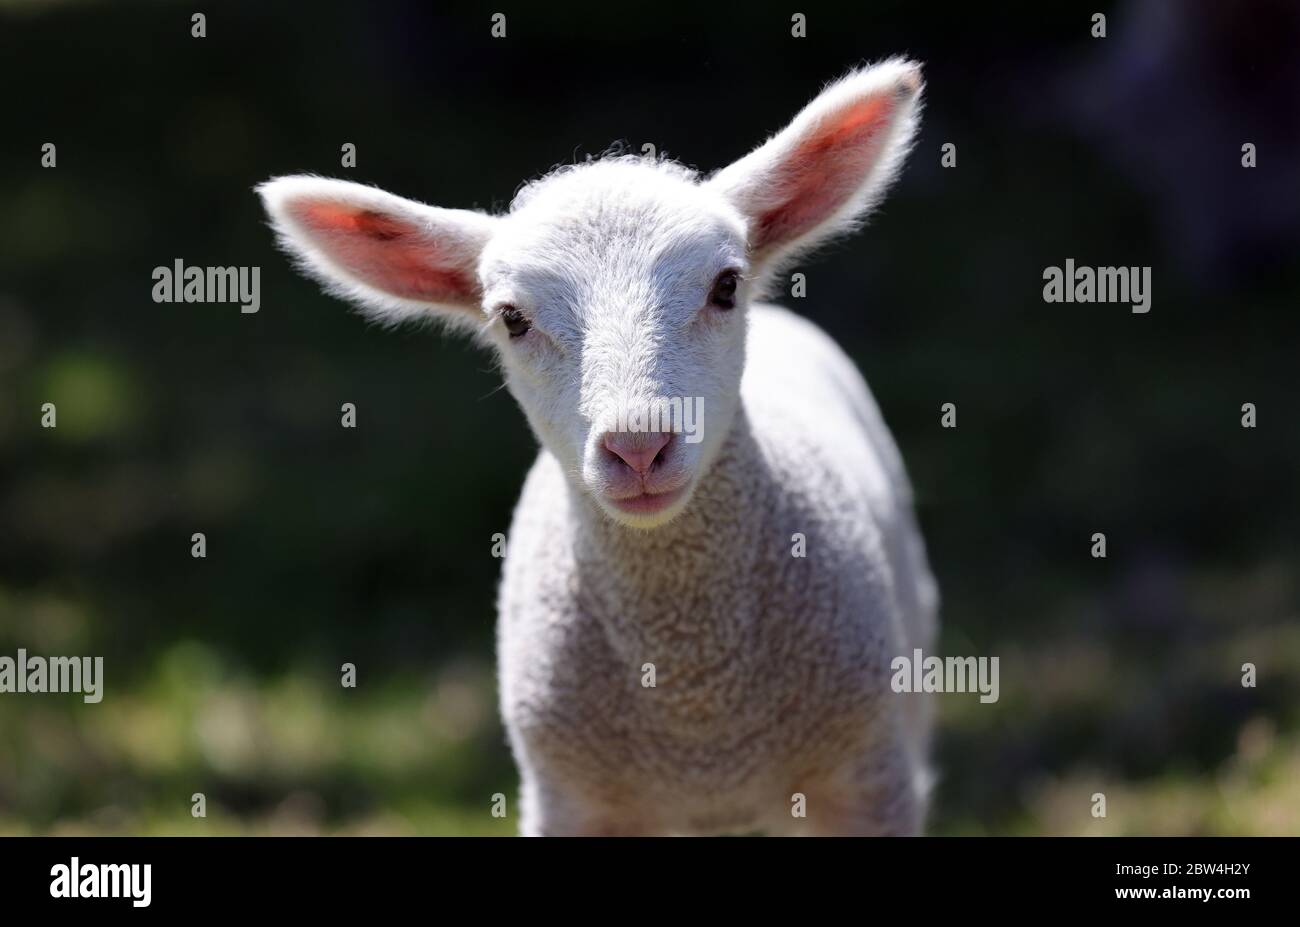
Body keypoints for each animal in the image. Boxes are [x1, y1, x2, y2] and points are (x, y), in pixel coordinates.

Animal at [258, 59, 941, 837]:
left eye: (725, 285)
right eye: (512, 318)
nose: (638, 446)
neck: (694, 697)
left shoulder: (869, 780)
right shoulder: (570, 799)